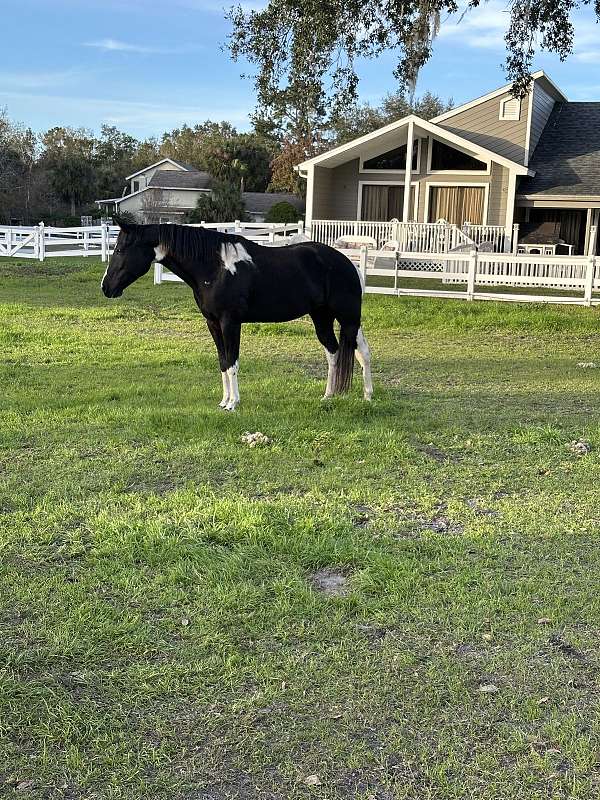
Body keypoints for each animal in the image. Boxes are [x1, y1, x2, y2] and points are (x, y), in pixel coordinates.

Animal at [101, 218, 373, 410]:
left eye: (120, 250)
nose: (106, 287)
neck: (215, 268)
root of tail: (349, 264)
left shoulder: (230, 322)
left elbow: (232, 361)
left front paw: (233, 404)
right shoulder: (212, 323)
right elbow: (223, 362)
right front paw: (224, 401)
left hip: (348, 318)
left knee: (360, 353)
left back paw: (366, 396)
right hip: (322, 317)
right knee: (336, 352)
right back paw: (331, 396)